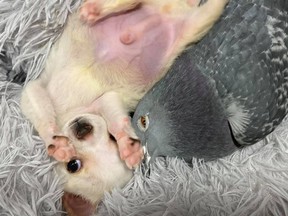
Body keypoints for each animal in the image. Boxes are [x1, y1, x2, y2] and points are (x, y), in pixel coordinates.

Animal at [20, 0, 228, 213]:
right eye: (73, 165)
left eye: (111, 139)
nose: (82, 129)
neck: (72, 111)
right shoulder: (35, 91)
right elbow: (42, 113)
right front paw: (56, 142)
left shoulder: (106, 100)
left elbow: (116, 121)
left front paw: (126, 144)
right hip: (197, 23)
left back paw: (97, 10)